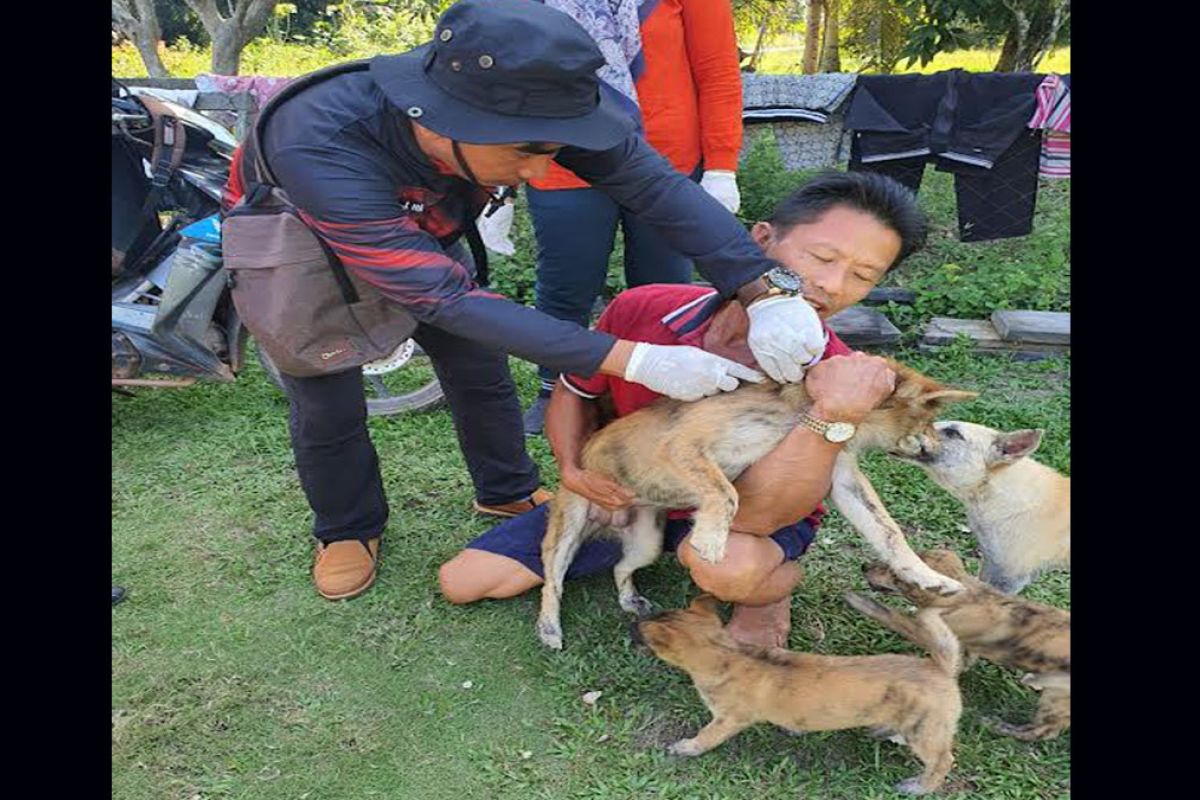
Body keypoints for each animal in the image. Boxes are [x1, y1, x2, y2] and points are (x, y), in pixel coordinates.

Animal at [535, 357, 974, 652]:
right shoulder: (681, 446)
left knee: (621, 567)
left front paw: (929, 577)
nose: (939, 449)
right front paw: (711, 539)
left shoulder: (843, 482)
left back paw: (630, 599)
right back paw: (549, 628)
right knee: (554, 582)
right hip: (569, 526)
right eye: (927, 425)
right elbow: (724, 494)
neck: (798, 410)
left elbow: (888, 532)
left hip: (647, 541)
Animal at [638, 594, 964, 796]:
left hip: (926, 732)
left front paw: (687, 747)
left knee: (943, 760)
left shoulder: (728, 719)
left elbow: (706, 737)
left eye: (644, 634)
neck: (727, 651)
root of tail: (940, 667)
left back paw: (918, 787)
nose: (633, 622)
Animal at [854, 546, 1070, 743]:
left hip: (1056, 695)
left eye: (895, 575)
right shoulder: (960, 647)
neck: (965, 596)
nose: (864, 566)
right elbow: (959, 662)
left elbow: (895, 618)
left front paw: (862, 603)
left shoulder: (925, 631)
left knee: (1045, 731)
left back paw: (1000, 727)